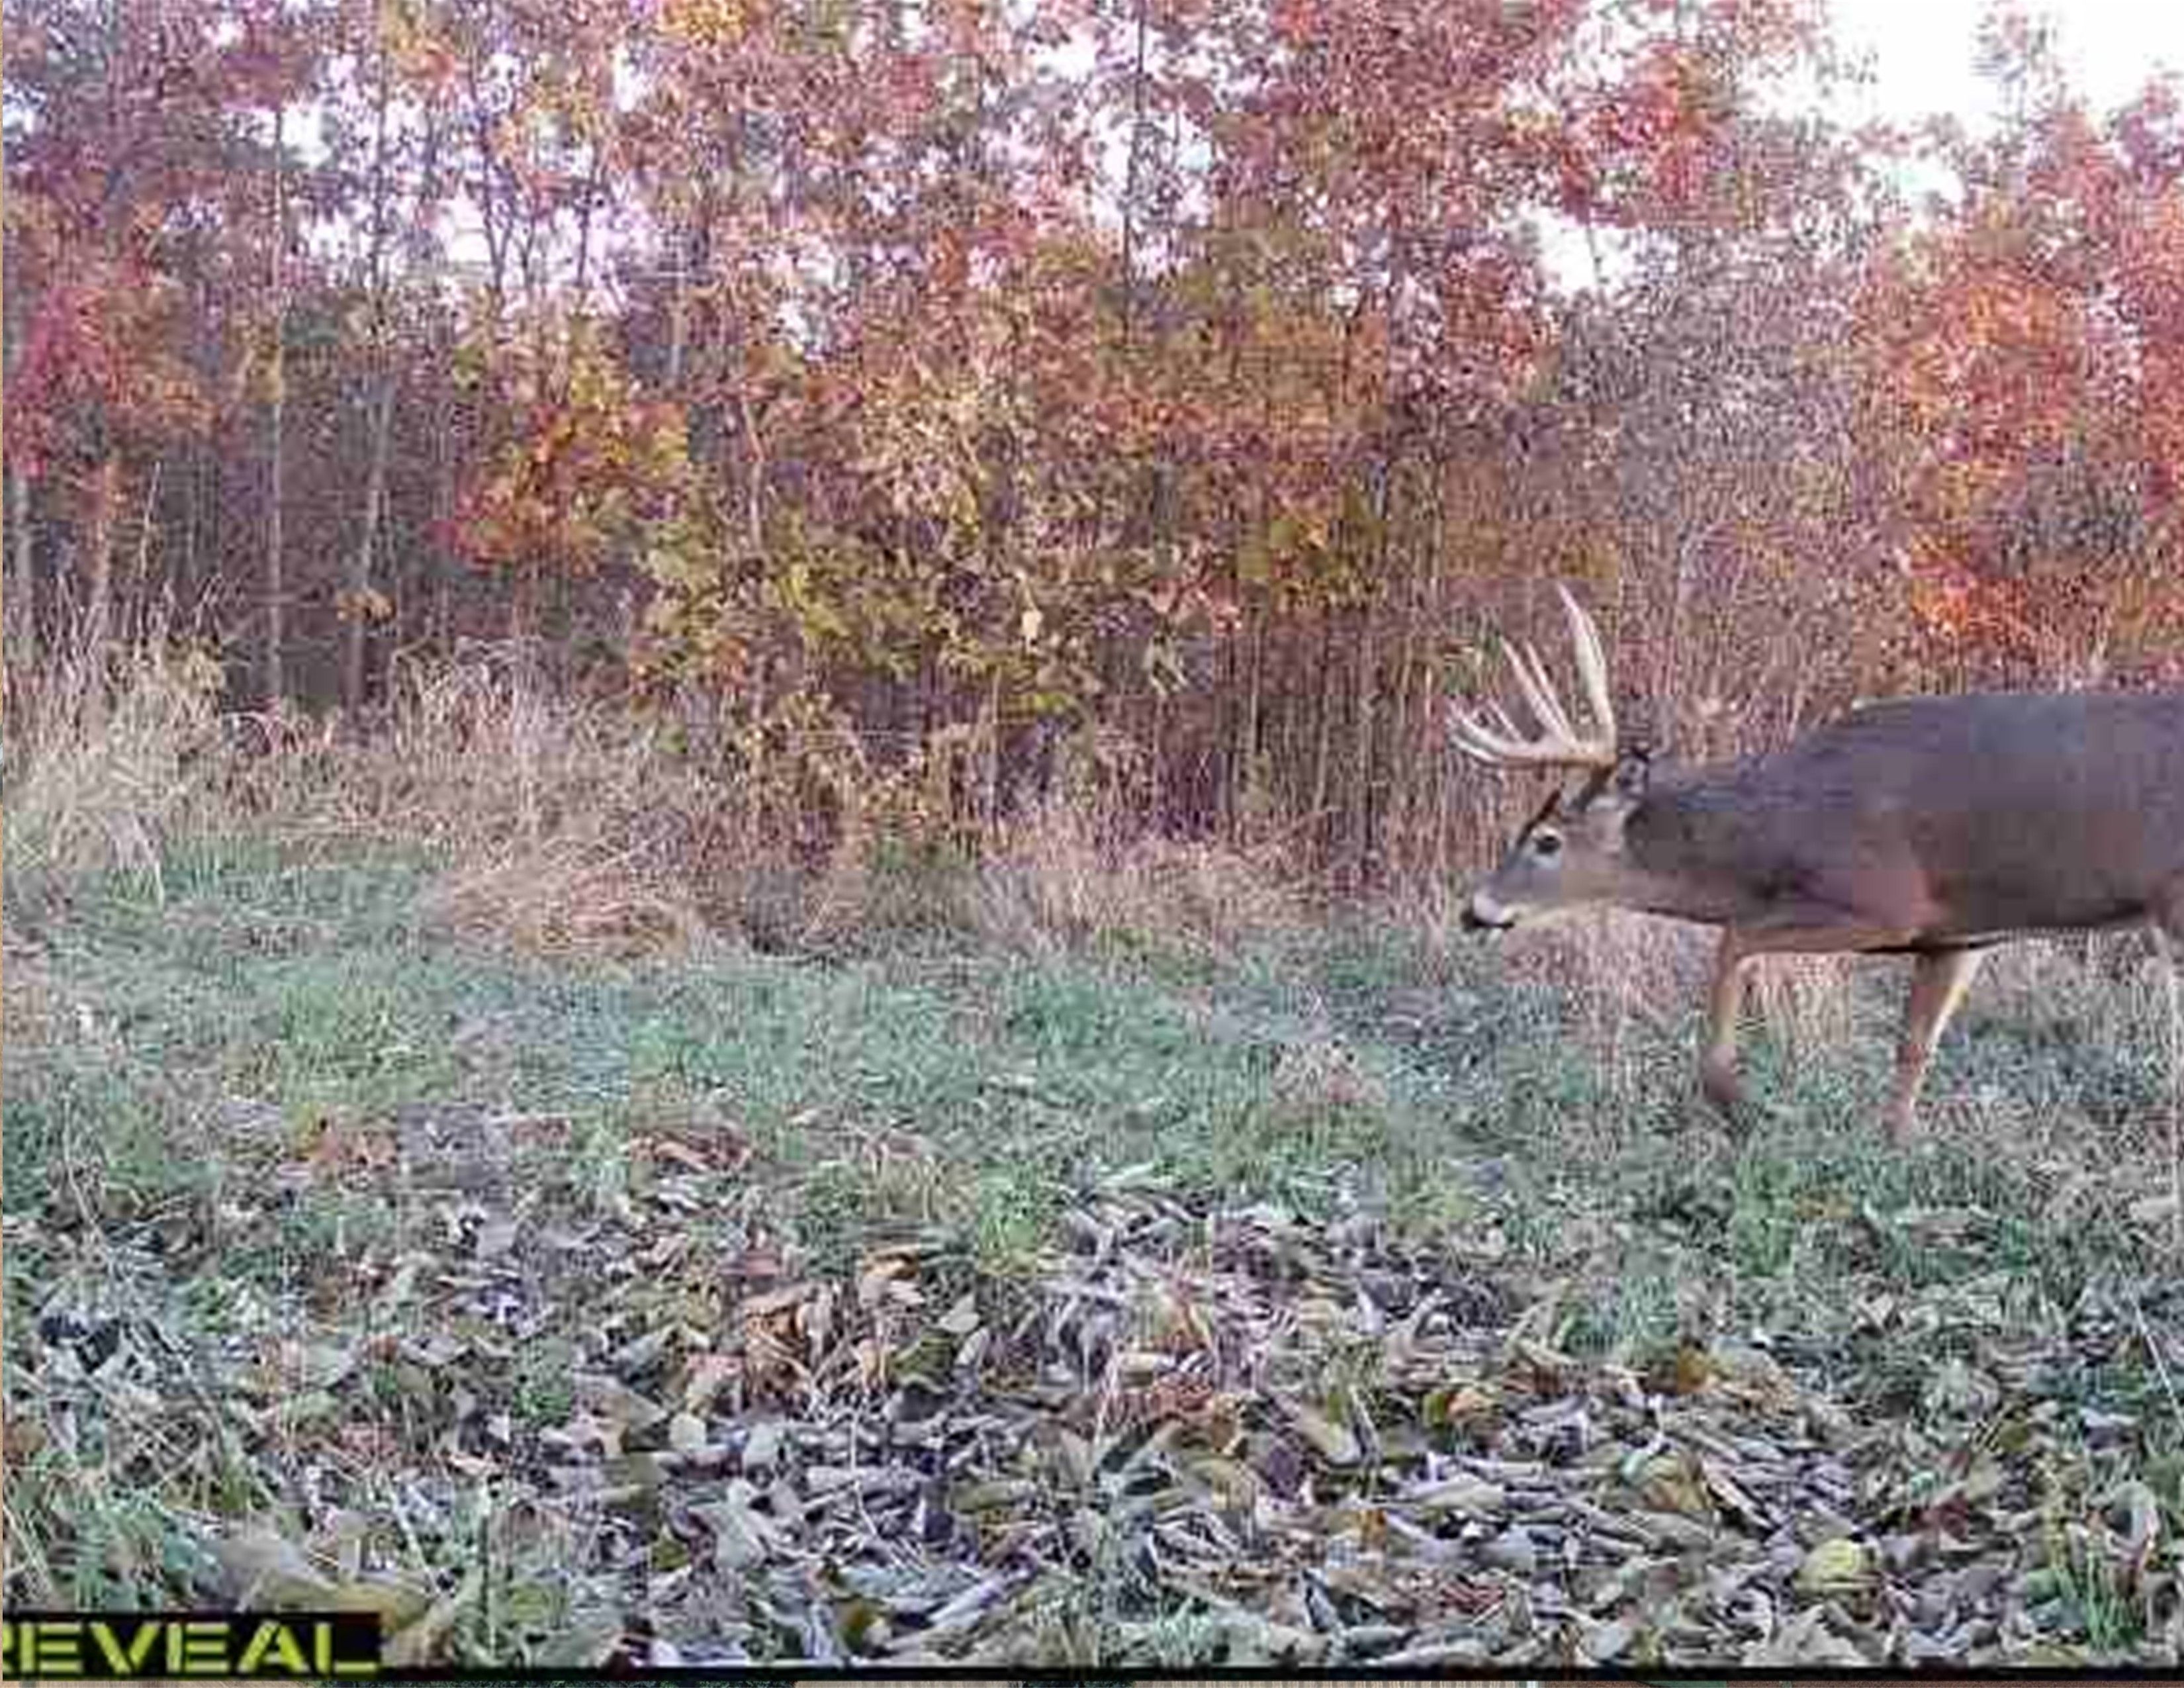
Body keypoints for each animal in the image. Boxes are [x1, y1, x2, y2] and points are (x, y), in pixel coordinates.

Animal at [1450, 586, 2184, 1145]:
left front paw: (1732, 1094)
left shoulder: (1883, 900)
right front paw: (1900, 1141)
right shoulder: (1956, 934)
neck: (1782, 828)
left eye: (1546, 840)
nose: (1474, 910)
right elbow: (1915, 1043)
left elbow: (1733, 939)